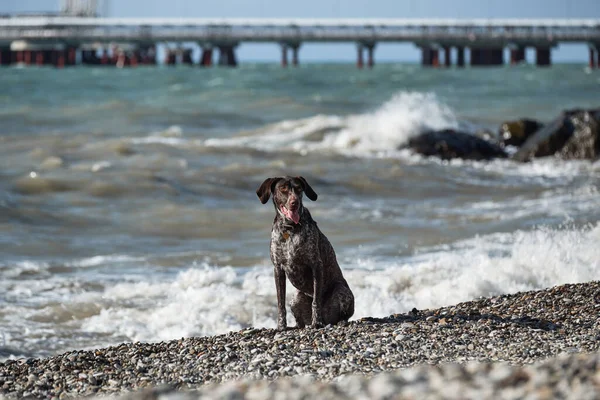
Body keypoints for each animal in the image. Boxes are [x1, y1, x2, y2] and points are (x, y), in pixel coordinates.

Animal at [255, 174, 354, 328]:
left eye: (299, 189)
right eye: (283, 189)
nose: (294, 203)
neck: (290, 229)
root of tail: (328, 320)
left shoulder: (316, 265)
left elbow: (316, 301)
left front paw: (316, 322)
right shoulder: (278, 269)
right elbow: (280, 303)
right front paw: (281, 326)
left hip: (342, 291)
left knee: (343, 314)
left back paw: (338, 321)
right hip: (295, 298)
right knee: (299, 320)